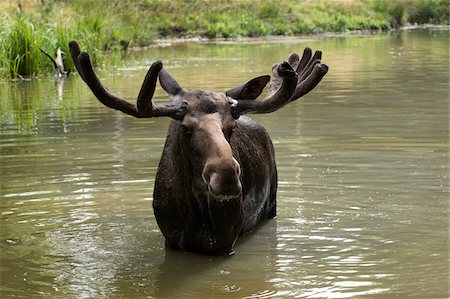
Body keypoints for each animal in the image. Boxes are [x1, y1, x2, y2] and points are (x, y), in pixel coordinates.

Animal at [67, 40, 326, 255]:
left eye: (231, 127)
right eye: (185, 127)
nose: (226, 176)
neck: (193, 211)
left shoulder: (226, 242)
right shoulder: (170, 240)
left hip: (272, 202)